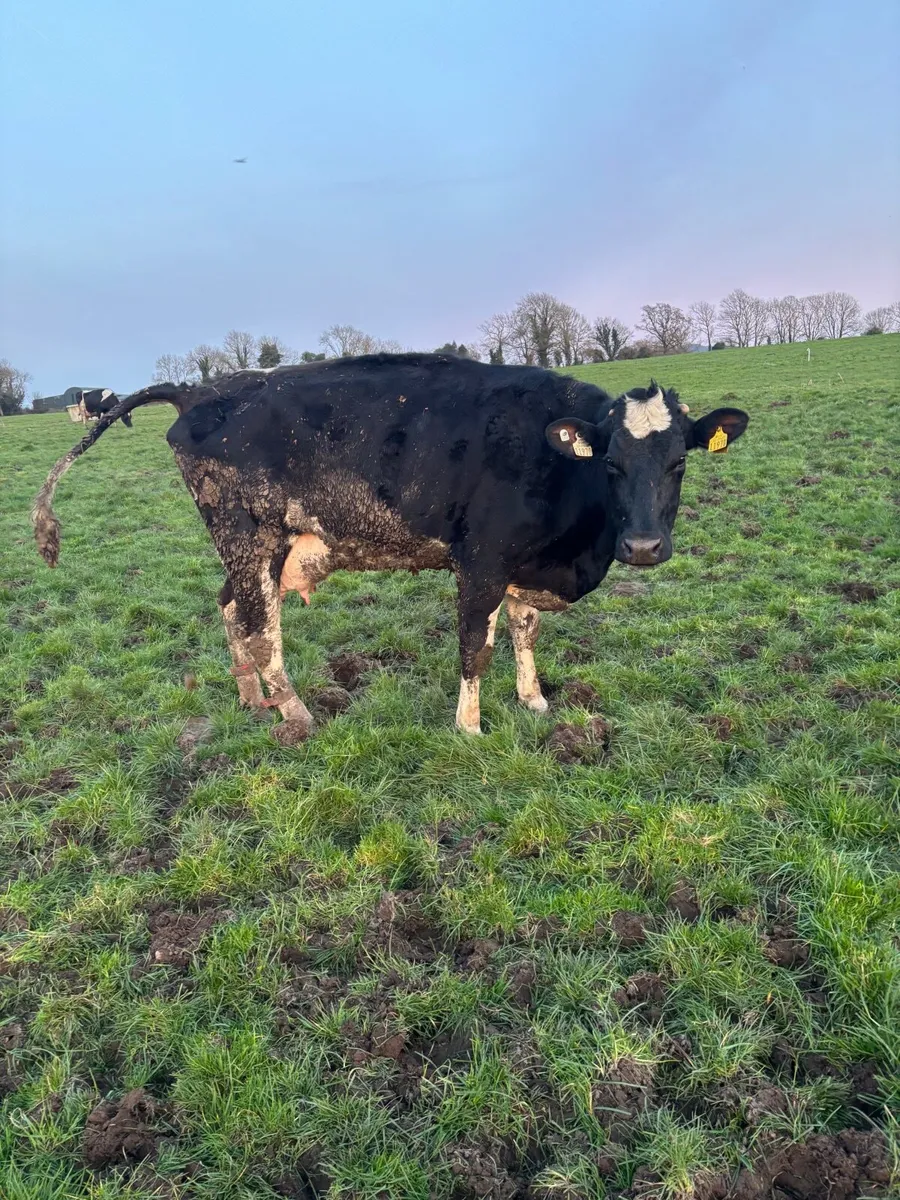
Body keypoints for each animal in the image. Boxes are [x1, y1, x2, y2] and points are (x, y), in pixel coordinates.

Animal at [32, 354, 748, 744]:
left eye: (680, 462)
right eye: (611, 465)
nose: (644, 546)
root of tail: (201, 388)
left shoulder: (524, 565)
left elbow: (524, 631)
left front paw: (535, 700)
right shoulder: (480, 563)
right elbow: (474, 646)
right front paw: (470, 727)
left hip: (249, 552)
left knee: (231, 611)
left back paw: (251, 700)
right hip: (248, 538)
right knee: (263, 629)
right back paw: (296, 714)